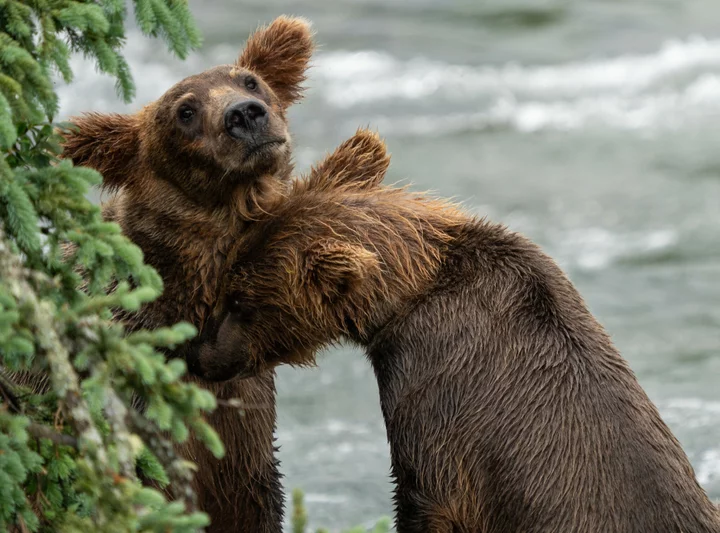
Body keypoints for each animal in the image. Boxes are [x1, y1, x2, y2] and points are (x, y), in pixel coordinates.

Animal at [184, 130, 720, 532]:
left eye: (242, 302)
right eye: (226, 277)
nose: (198, 352)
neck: (412, 290)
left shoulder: (437, 399)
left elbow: (427, 496)